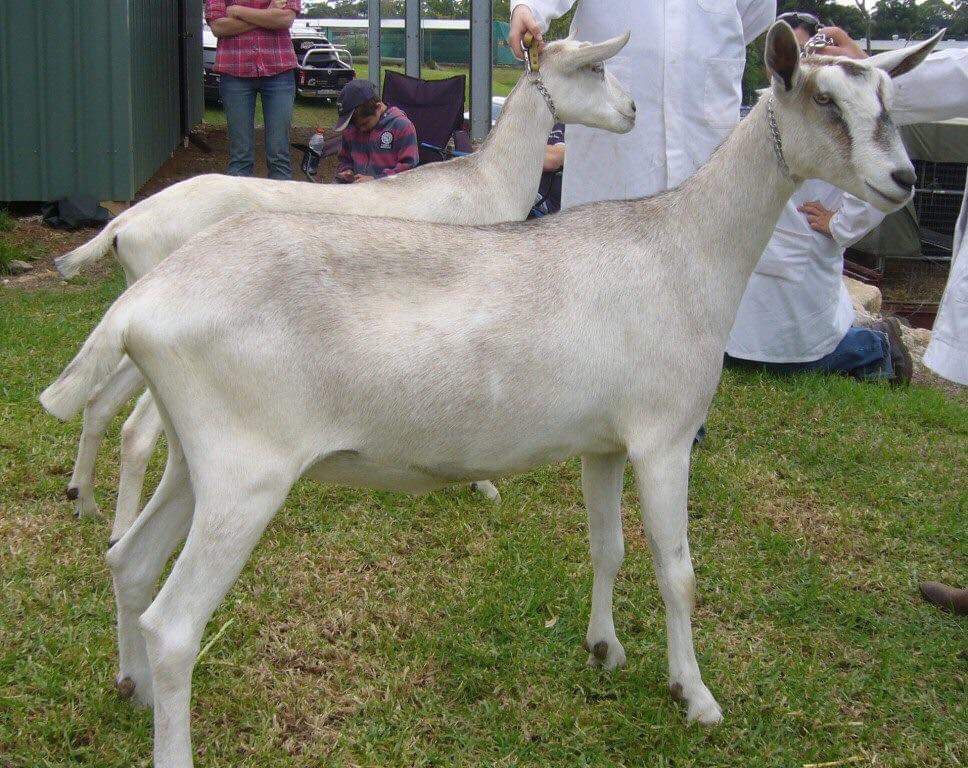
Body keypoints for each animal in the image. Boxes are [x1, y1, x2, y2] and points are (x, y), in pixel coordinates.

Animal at [57, 34, 636, 536]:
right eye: (592, 67)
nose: (632, 110)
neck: (483, 182)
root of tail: (126, 222)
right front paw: (485, 484)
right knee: (135, 431)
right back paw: (118, 530)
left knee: (100, 402)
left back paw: (84, 499)